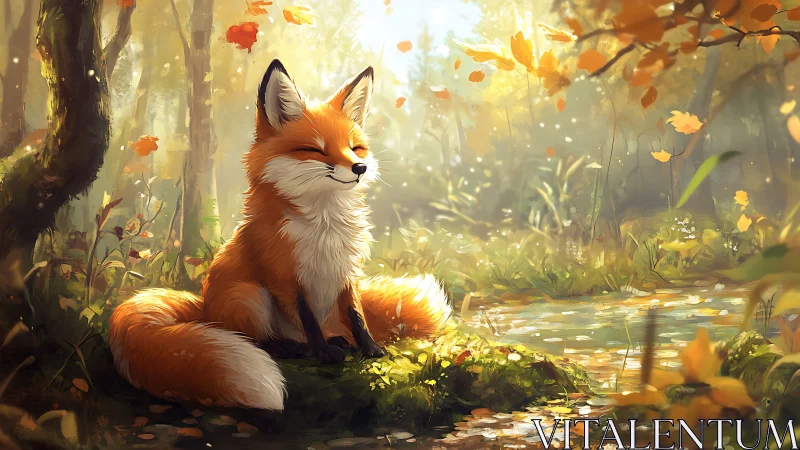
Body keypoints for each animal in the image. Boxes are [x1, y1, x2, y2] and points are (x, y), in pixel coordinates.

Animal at [108, 59, 451, 411]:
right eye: (315, 150)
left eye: (356, 147)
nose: (360, 167)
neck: (325, 227)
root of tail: (203, 307)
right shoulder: (285, 274)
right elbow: (307, 316)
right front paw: (323, 353)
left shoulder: (346, 272)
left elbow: (356, 314)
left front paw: (369, 348)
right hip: (250, 296)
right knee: (255, 338)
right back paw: (289, 347)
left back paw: (333, 340)